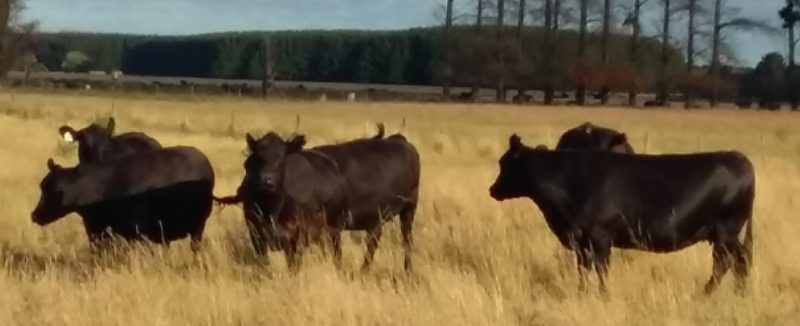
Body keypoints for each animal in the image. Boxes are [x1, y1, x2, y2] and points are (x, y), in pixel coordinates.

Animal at [31, 146, 216, 250]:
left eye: (57, 190)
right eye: (42, 186)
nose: (35, 215)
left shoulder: (134, 233)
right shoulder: (96, 232)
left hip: (198, 228)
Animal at [488, 135, 756, 296]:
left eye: (504, 163)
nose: (492, 190)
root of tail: (738, 156)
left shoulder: (599, 236)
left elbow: (601, 269)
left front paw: (603, 295)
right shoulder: (581, 241)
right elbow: (583, 269)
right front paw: (582, 292)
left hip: (726, 229)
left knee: (724, 263)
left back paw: (705, 293)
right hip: (728, 233)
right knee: (740, 260)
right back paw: (740, 292)